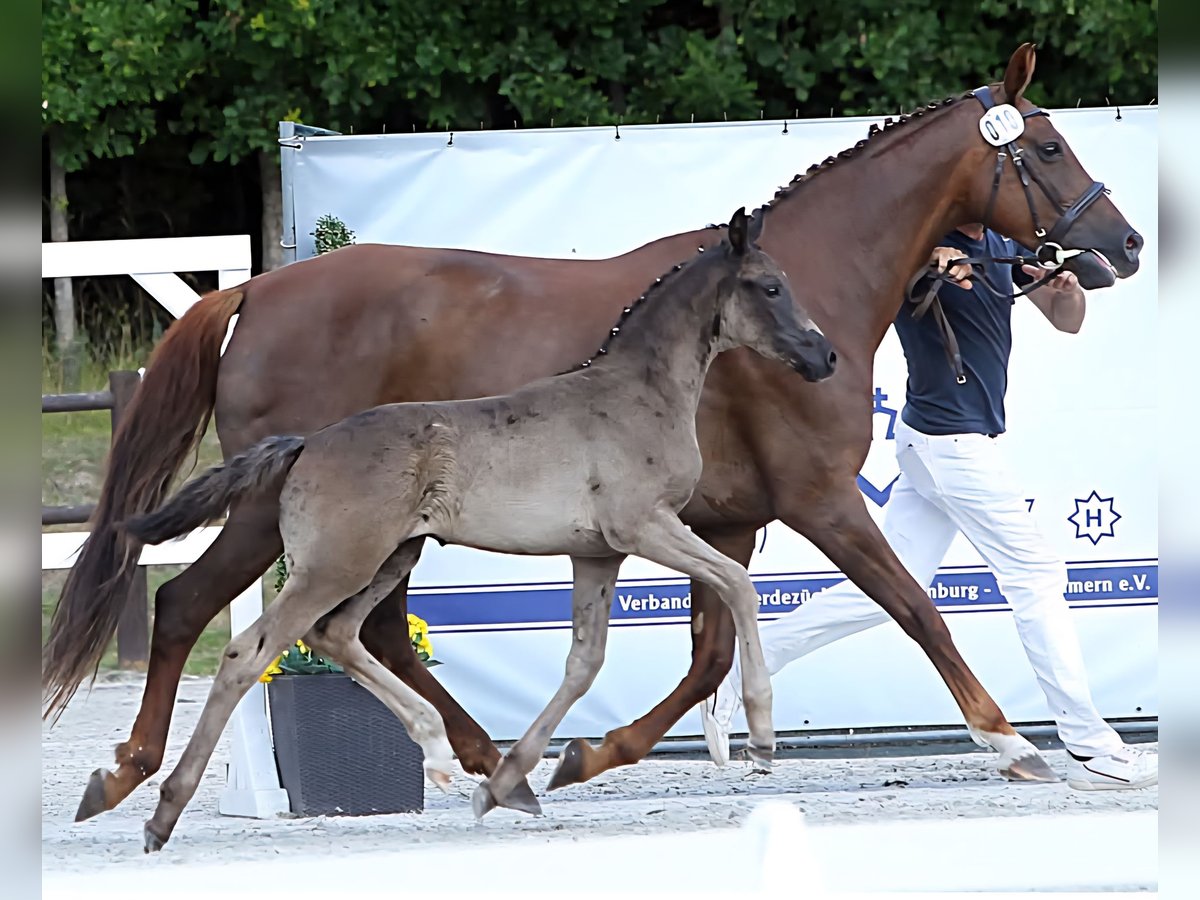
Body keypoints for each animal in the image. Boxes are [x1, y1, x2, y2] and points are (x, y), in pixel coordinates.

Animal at [123, 208, 836, 850]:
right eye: (770, 286)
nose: (824, 355)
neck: (639, 394)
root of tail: (305, 445)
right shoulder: (644, 526)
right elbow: (739, 583)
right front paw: (762, 737)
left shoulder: (597, 554)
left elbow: (584, 662)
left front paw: (506, 783)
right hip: (339, 564)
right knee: (251, 651)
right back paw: (161, 813)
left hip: (391, 556)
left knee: (337, 634)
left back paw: (439, 753)